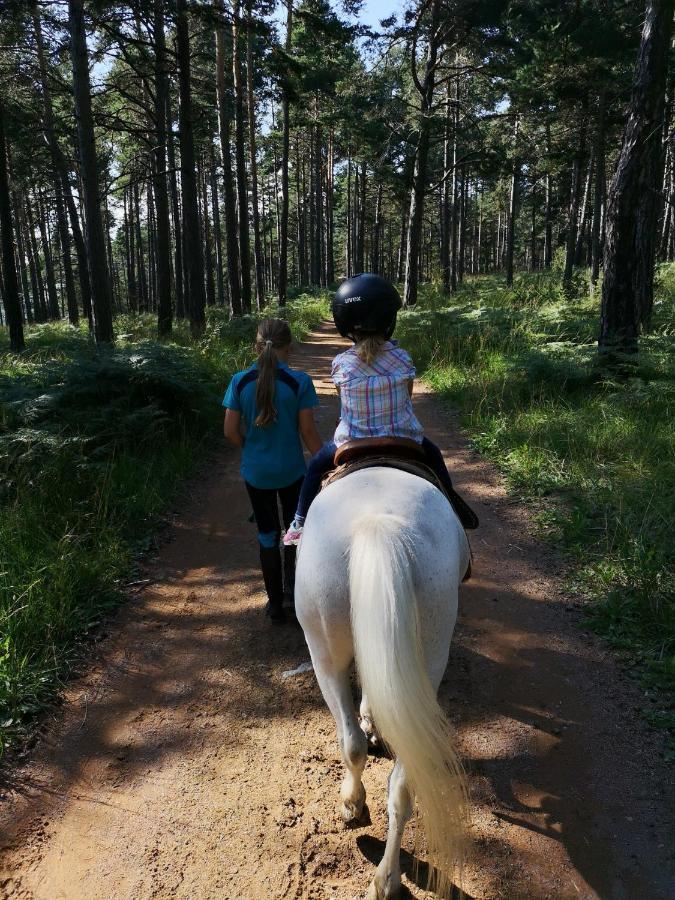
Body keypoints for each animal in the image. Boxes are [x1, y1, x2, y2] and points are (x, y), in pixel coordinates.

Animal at [296, 468, 470, 896]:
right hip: (430, 650)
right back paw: (386, 879)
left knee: (351, 743)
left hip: (322, 653)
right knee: (402, 784)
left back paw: (352, 804)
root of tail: (377, 524)